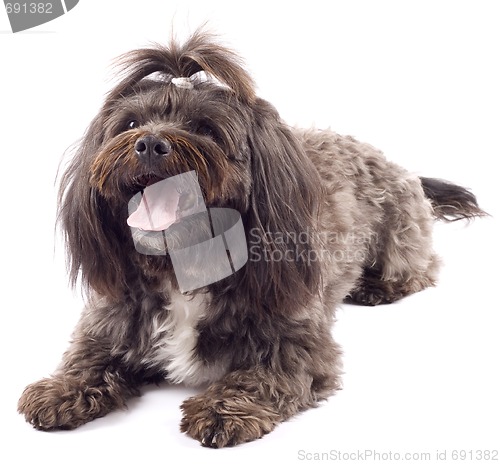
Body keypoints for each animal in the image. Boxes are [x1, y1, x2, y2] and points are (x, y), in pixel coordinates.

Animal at [18, 31, 484, 446]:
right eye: (130, 123)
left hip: (402, 231)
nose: (149, 143)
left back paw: (377, 287)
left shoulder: (295, 338)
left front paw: (223, 407)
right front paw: (62, 387)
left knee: (420, 267)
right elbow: (88, 355)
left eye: (206, 128)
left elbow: (263, 373)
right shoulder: (113, 316)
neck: (183, 265)